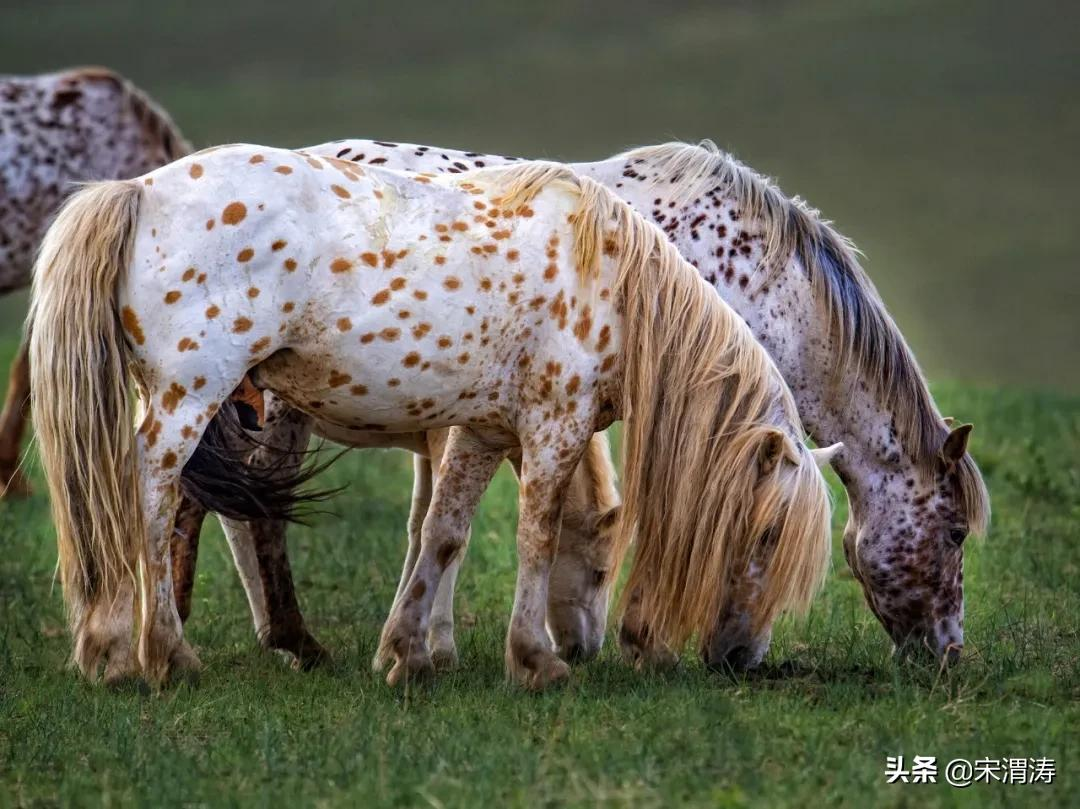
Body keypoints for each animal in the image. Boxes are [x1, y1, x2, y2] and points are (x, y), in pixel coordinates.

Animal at [27, 146, 833, 686]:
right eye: (767, 532)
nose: (740, 657)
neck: (613, 283)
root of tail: (137, 191)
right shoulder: (556, 427)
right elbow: (536, 537)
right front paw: (534, 660)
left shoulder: (481, 431)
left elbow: (442, 533)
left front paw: (408, 652)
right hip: (190, 397)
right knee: (151, 500)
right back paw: (159, 652)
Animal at [174, 139, 989, 669]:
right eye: (953, 532)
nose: (949, 653)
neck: (748, 278)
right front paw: (633, 638)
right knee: (241, 513)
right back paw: (267, 639)